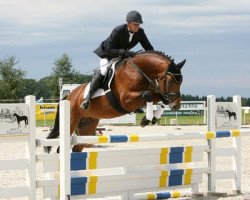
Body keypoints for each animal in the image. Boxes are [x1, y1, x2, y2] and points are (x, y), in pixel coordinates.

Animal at [44, 50, 186, 152]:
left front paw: (152, 118)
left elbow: (161, 99)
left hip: (87, 126)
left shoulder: (154, 93)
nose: (177, 106)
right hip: (71, 121)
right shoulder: (126, 100)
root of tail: (68, 97)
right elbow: (148, 96)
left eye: (180, 82)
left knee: (77, 147)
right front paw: (146, 120)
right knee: (60, 148)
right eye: (171, 81)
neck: (138, 71)